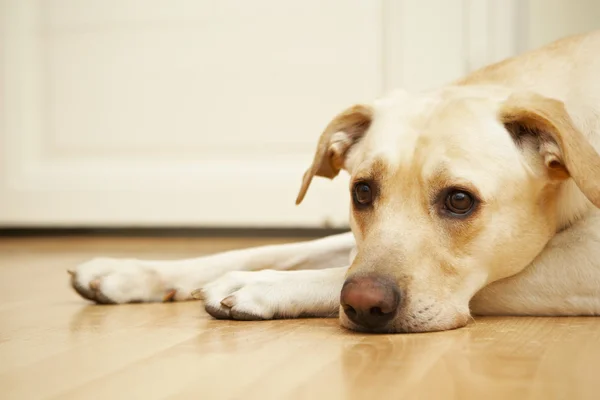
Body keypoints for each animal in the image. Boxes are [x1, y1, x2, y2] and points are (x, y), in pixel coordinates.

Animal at [68, 31, 600, 332]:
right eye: (362, 192)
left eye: (459, 201)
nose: (363, 304)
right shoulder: (354, 239)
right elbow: (274, 250)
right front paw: (129, 271)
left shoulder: (580, 262)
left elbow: (330, 272)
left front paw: (258, 285)